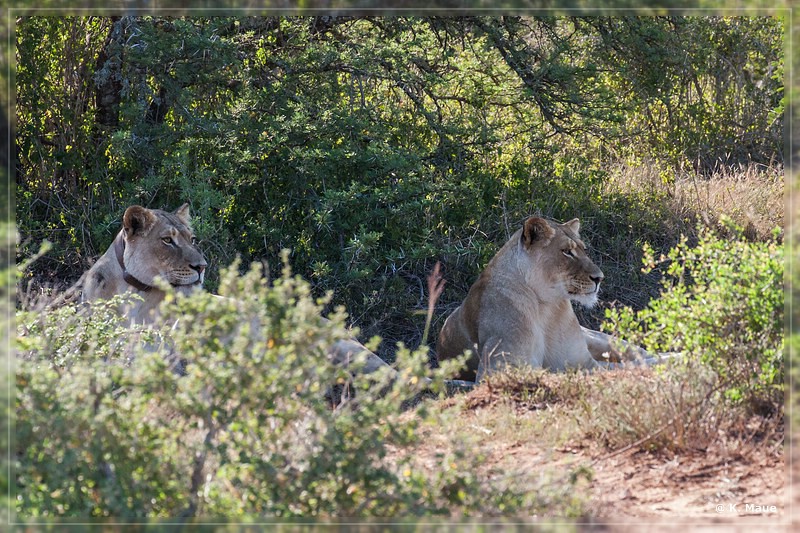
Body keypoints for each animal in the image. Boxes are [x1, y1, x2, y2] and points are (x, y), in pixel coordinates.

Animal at [438, 214, 664, 380]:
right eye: (567, 252)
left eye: (584, 249)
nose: (599, 278)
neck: (547, 306)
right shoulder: (498, 369)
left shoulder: (582, 359)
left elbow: (629, 365)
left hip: (597, 337)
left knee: (640, 353)